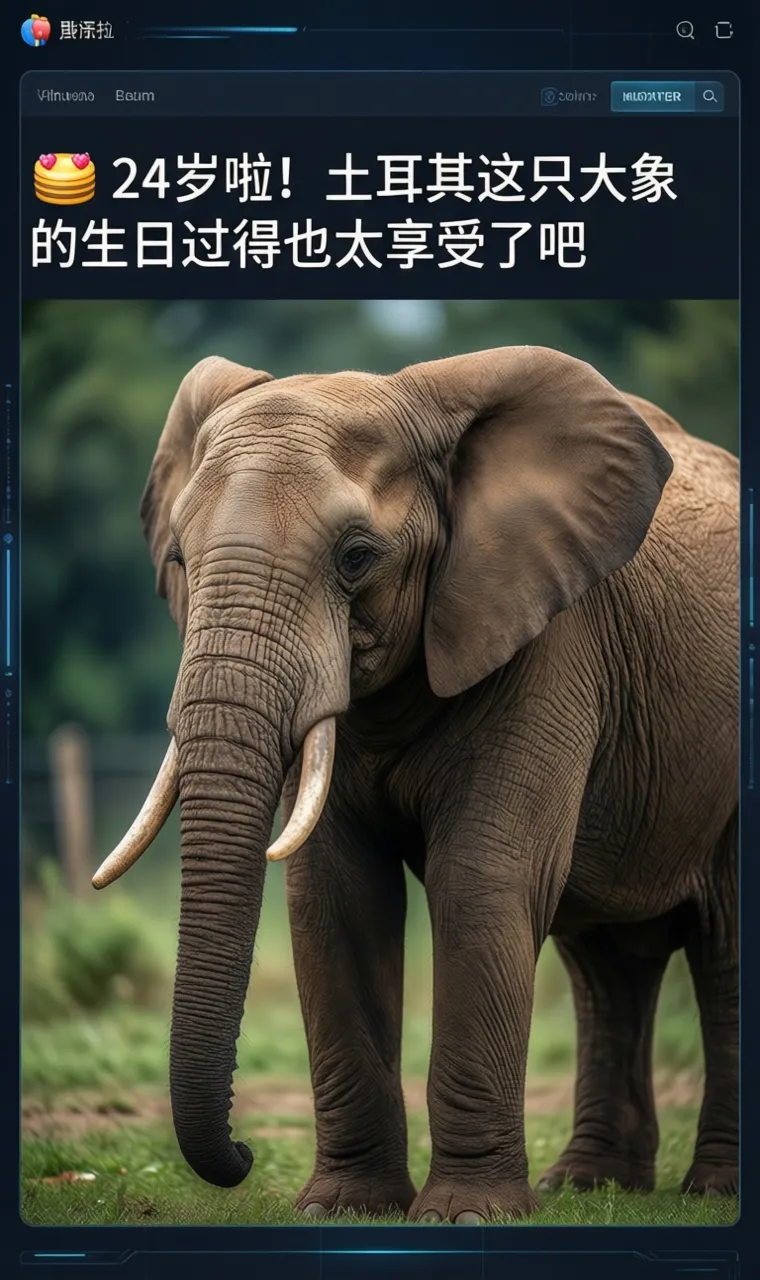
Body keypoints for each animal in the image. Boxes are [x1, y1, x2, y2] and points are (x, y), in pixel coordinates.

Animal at [93, 345, 738, 1223]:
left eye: (357, 557)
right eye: (180, 562)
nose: (245, 1155)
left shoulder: (549, 642)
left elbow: (481, 880)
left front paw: (467, 1214)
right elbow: (335, 894)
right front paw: (343, 1209)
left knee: (725, 945)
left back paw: (714, 1187)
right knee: (606, 963)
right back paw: (589, 1185)